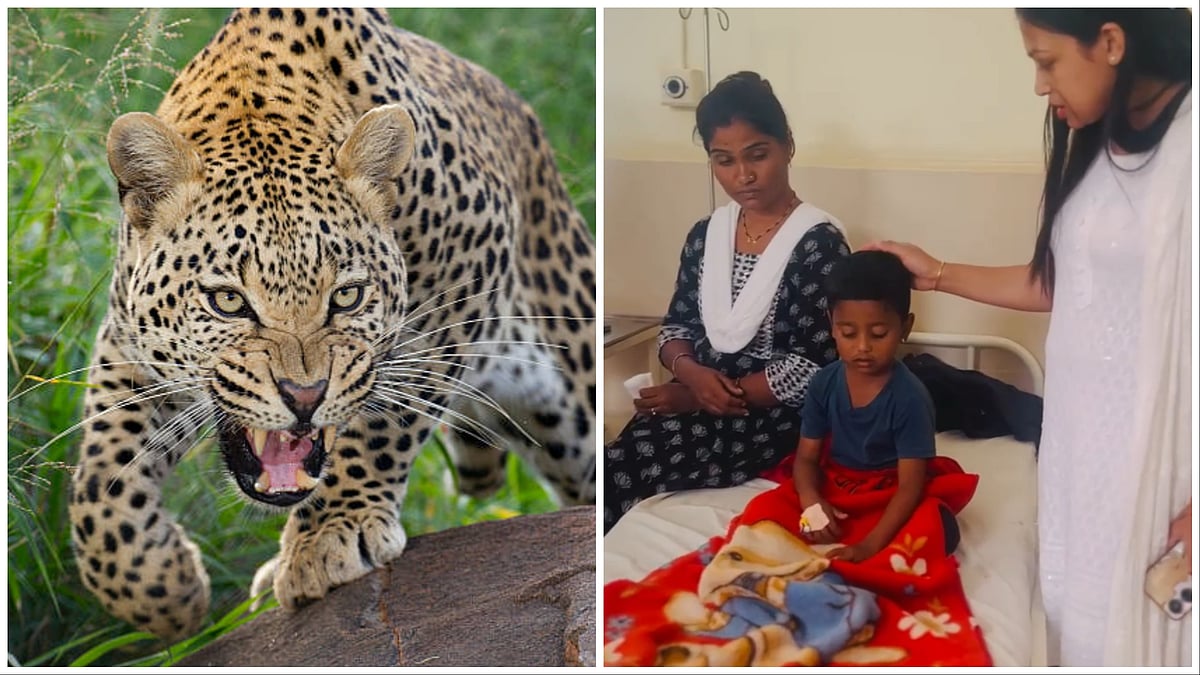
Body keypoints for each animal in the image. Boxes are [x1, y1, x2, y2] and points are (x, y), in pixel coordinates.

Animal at [67, 7, 596, 641]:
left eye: (346, 296)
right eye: (228, 302)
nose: (304, 396)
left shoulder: (467, 271)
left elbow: (387, 419)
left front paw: (329, 534)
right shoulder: (128, 340)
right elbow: (102, 475)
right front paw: (163, 591)